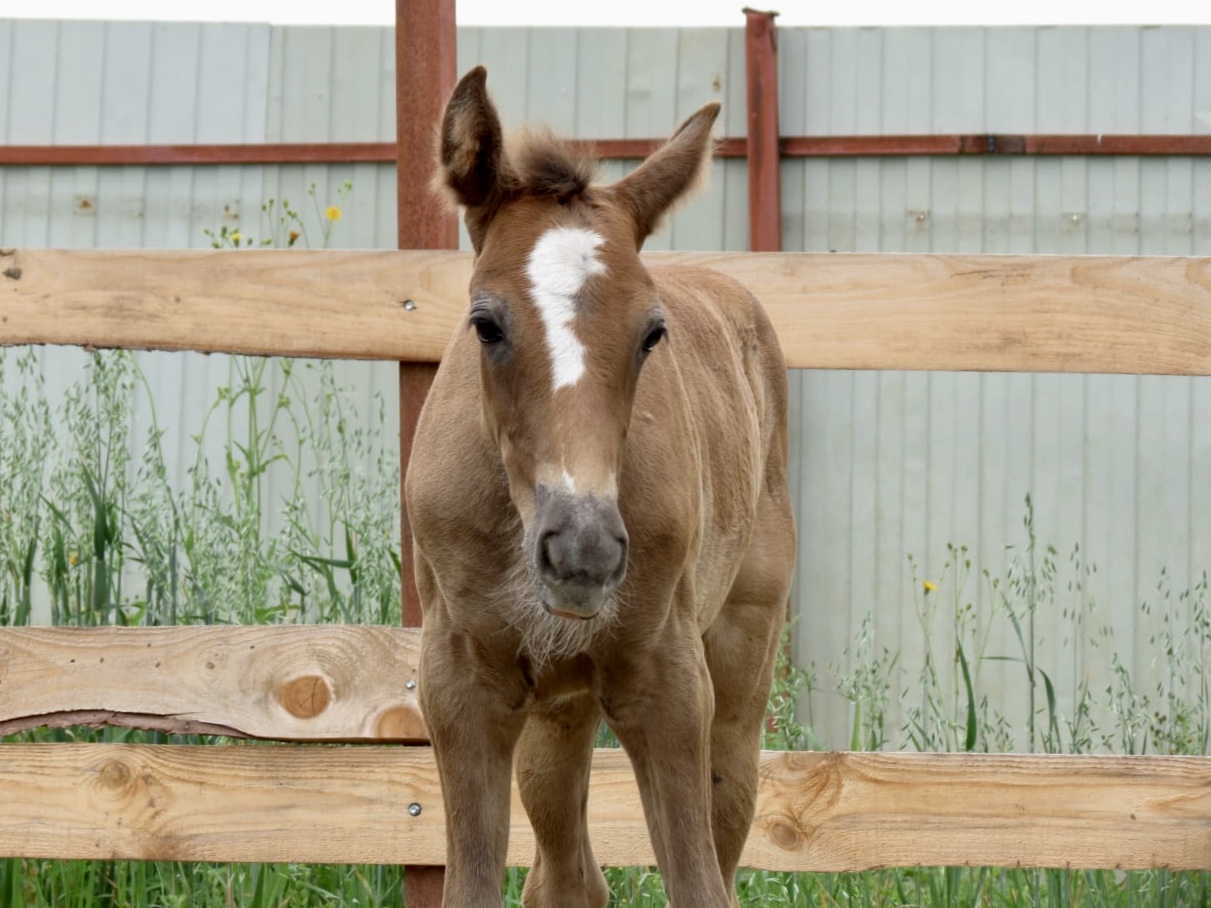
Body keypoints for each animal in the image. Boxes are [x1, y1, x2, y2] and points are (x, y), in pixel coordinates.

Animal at [406, 65, 799, 908]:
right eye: (484, 323)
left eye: (651, 333)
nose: (581, 550)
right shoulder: (458, 685)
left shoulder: (669, 683)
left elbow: (697, 884)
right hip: (557, 708)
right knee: (566, 874)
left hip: (738, 670)